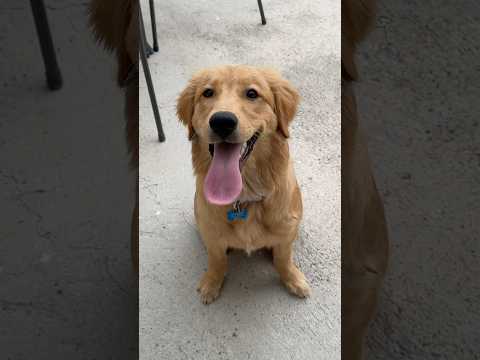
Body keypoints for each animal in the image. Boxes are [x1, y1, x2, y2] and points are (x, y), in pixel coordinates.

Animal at [177, 65, 312, 304]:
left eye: (252, 93)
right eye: (207, 92)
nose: (222, 121)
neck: (244, 196)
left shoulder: (287, 232)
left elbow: (283, 259)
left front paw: (293, 279)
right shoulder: (211, 234)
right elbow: (217, 260)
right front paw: (212, 282)